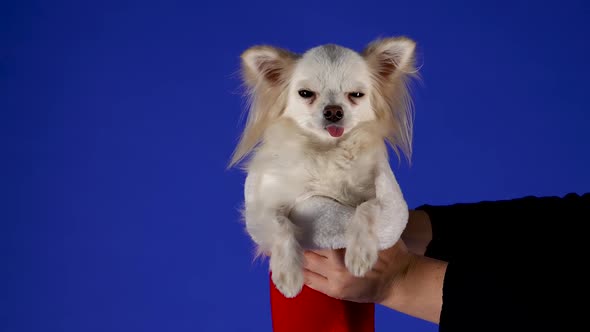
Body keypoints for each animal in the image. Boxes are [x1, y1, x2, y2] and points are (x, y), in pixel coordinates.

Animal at [229, 37, 418, 298]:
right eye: (305, 94)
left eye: (356, 95)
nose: (334, 111)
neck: (327, 151)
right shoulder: (262, 207)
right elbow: (280, 225)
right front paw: (288, 274)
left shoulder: (381, 195)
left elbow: (368, 207)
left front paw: (360, 254)